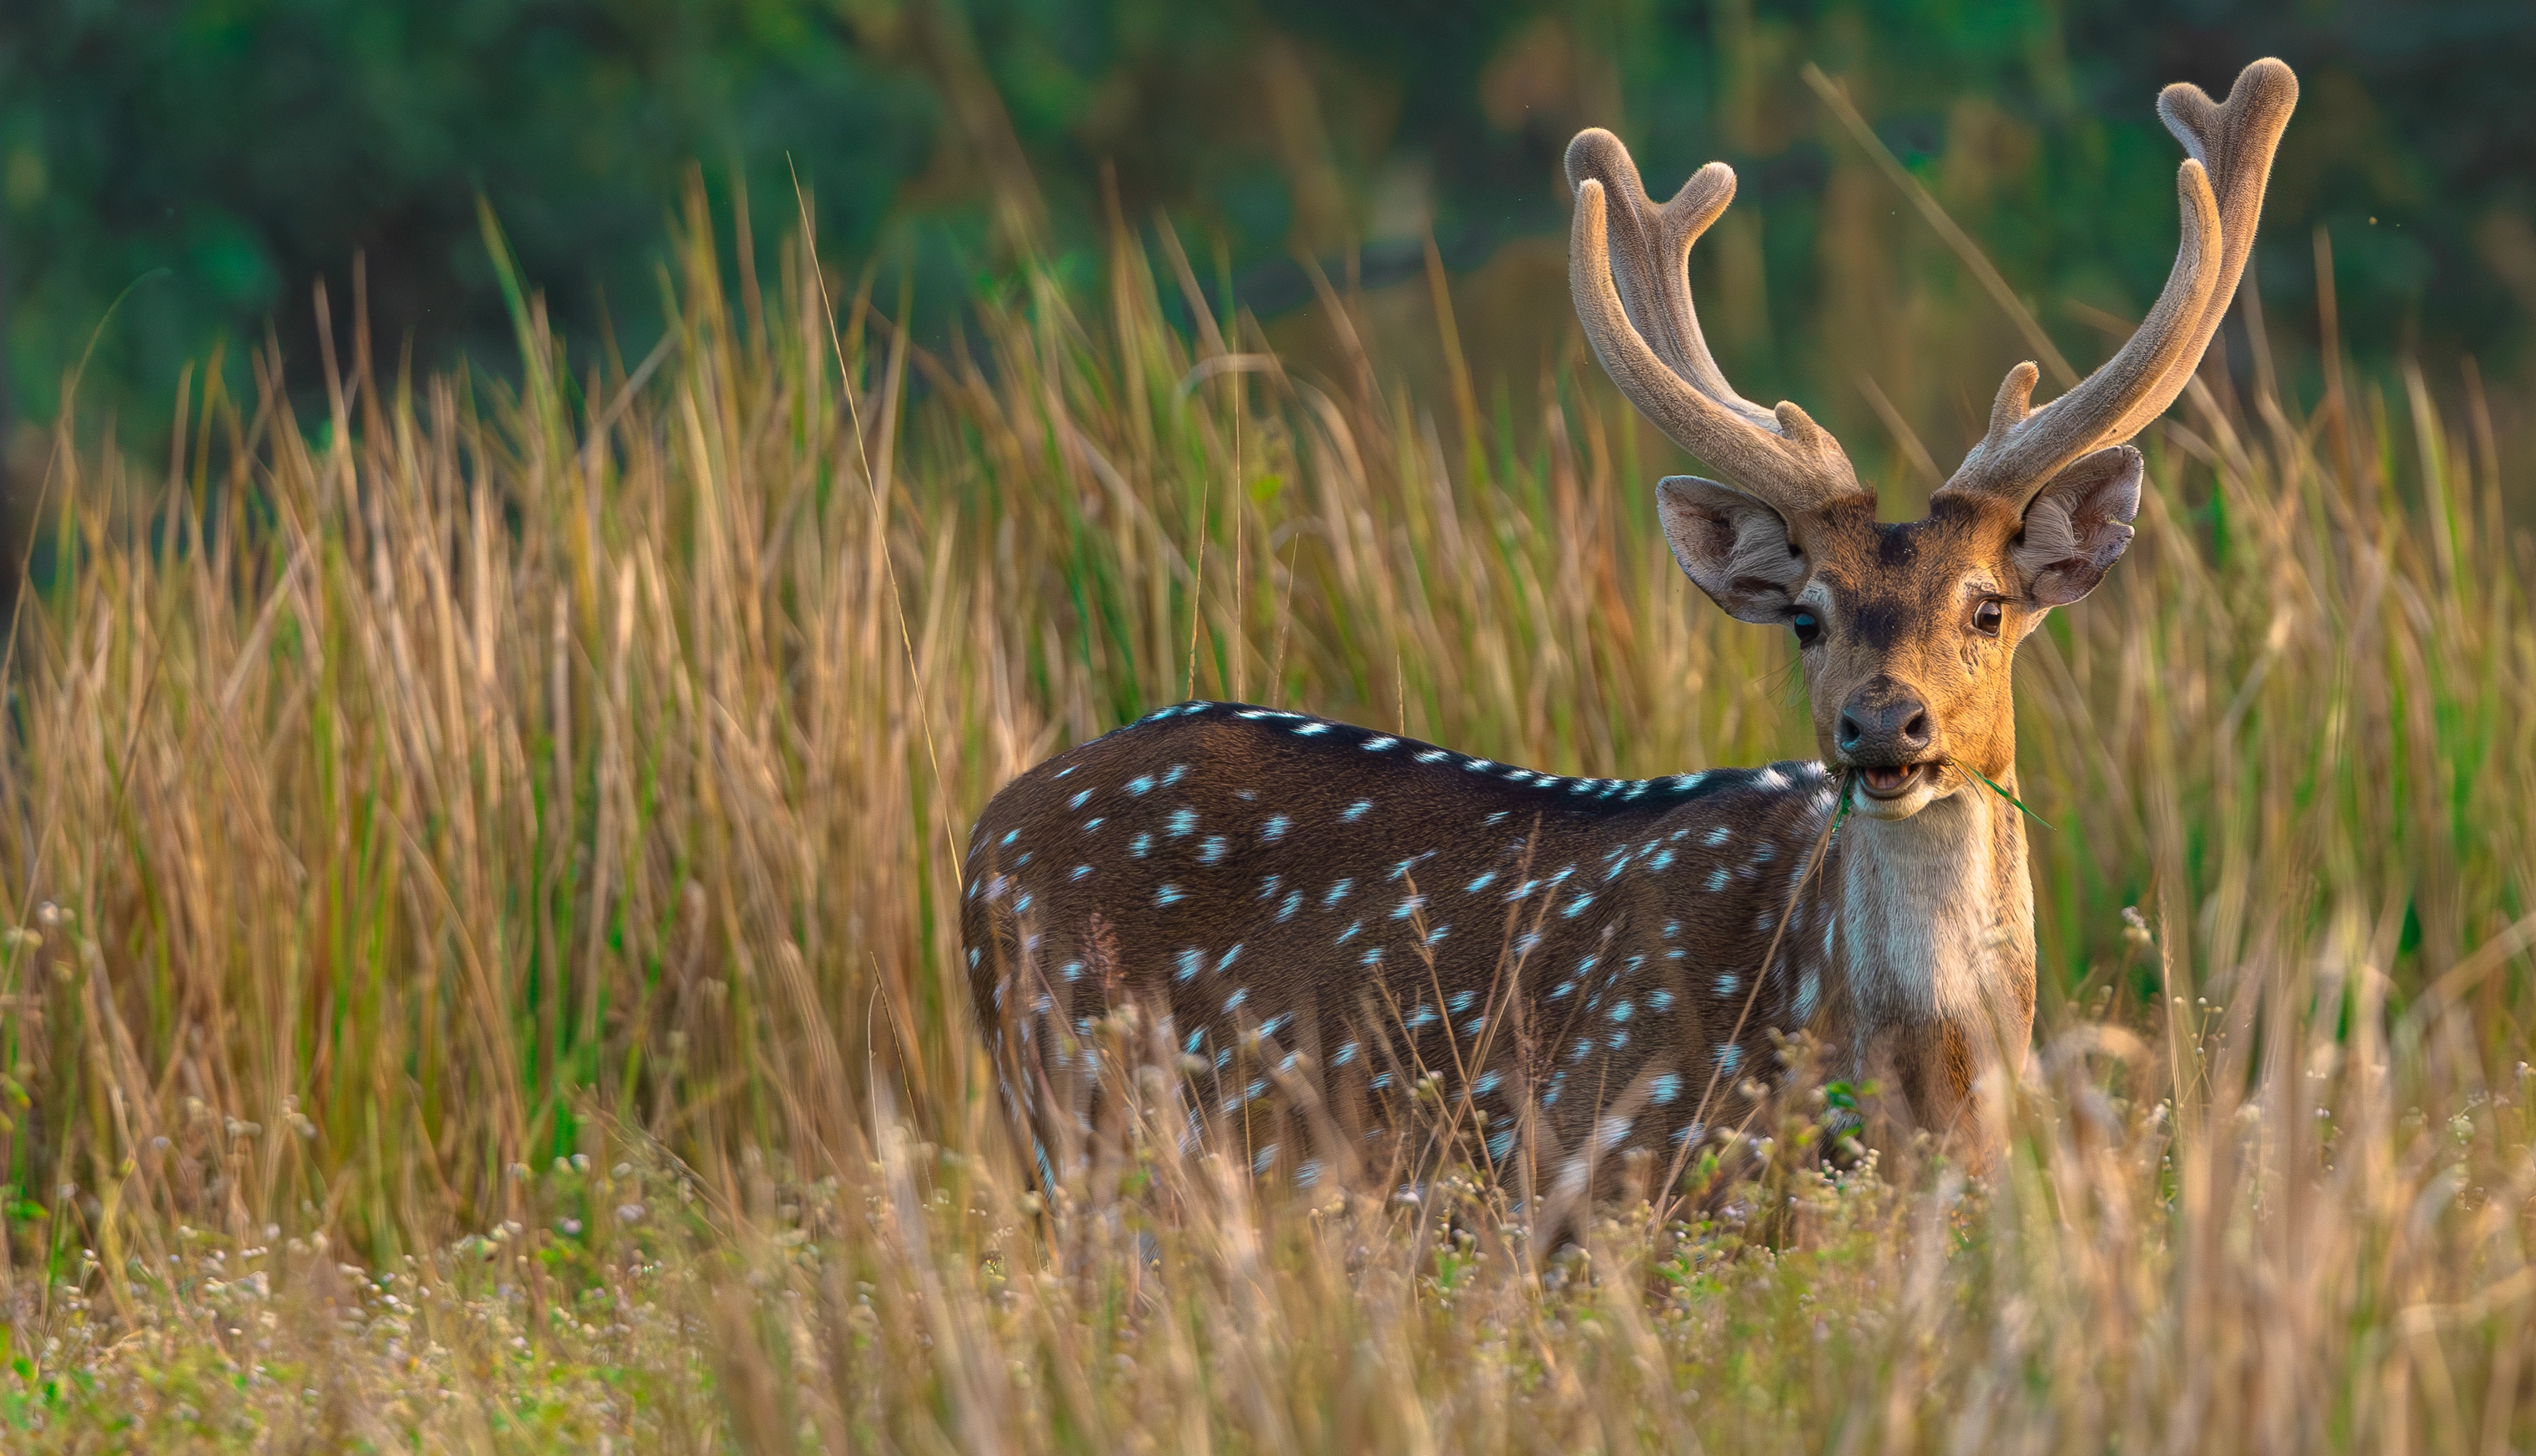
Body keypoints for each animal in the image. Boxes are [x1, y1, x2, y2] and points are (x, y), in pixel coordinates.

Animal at [962, 59, 2297, 1201]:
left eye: (1989, 605)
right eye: (1804, 618)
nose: (1882, 725)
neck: (1914, 1082)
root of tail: (979, 832)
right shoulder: (1587, 1176)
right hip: (1072, 1125)